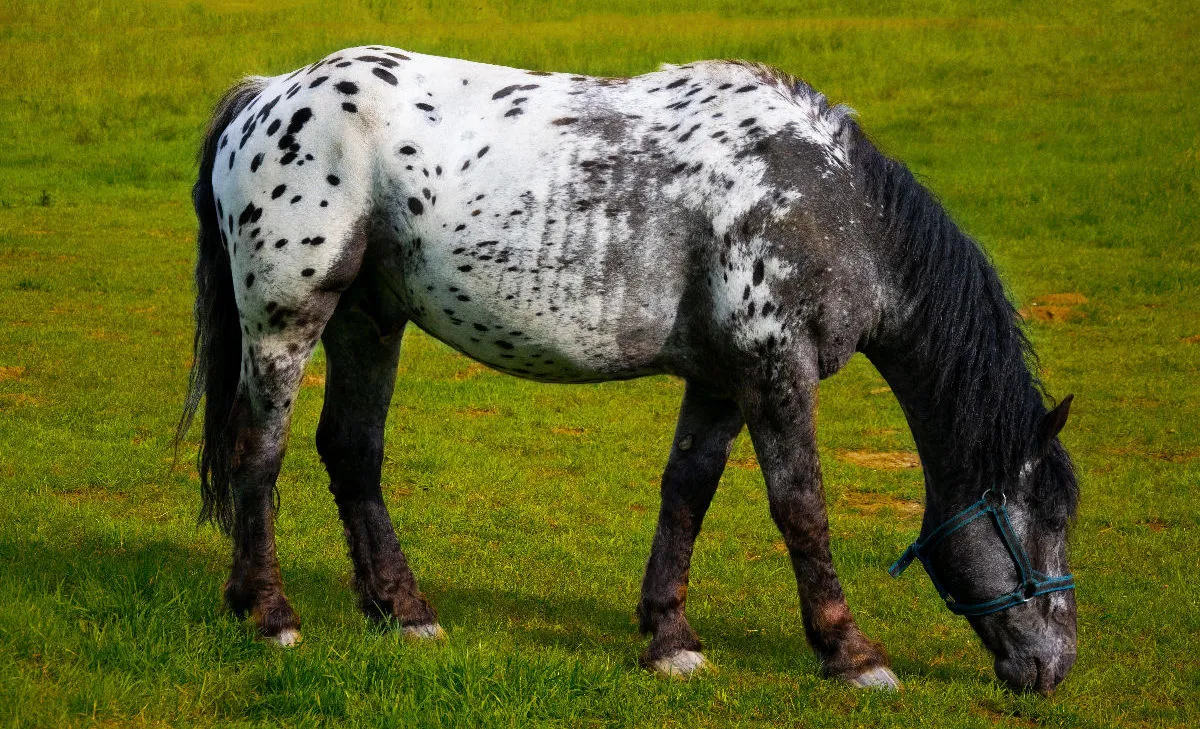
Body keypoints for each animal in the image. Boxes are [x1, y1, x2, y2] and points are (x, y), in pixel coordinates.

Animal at [177, 46, 1079, 694]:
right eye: (1049, 517)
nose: (1054, 666)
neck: (830, 205)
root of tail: (267, 96)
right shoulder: (775, 370)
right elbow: (801, 508)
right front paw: (852, 652)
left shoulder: (721, 380)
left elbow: (688, 492)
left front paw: (670, 637)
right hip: (287, 320)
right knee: (260, 454)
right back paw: (269, 613)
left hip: (369, 321)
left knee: (352, 452)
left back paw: (403, 612)